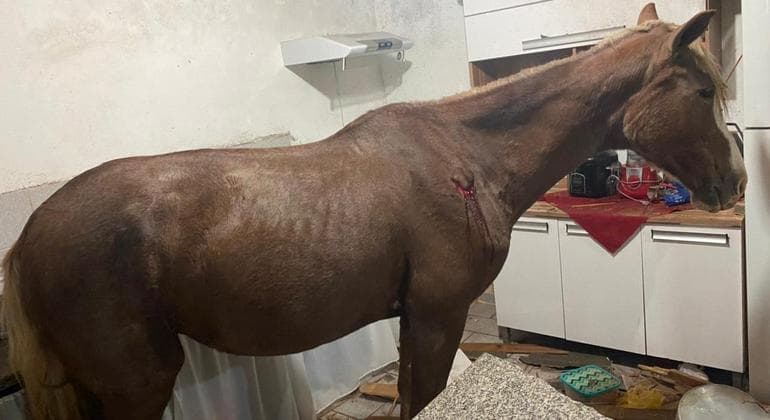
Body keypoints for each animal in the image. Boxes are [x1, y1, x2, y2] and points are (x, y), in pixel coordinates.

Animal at [2, 4, 746, 419]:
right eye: (701, 90)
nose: (735, 184)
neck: (467, 158)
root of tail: (28, 236)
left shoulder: (416, 321)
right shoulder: (437, 317)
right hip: (137, 383)